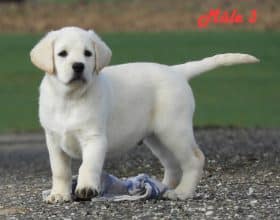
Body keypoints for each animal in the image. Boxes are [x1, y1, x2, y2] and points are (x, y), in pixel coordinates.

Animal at [30, 26, 258, 204]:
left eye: (88, 53)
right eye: (62, 54)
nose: (78, 66)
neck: (70, 99)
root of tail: (176, 71)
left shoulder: (95, 138)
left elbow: (88, 165)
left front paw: (86, 188)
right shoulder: (53, 140)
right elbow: (60, 170)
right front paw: (59, 194)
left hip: (174, 130)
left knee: (194, 159)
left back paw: (182, 192)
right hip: (157, 137)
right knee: (172, 164)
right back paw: (159, 188)